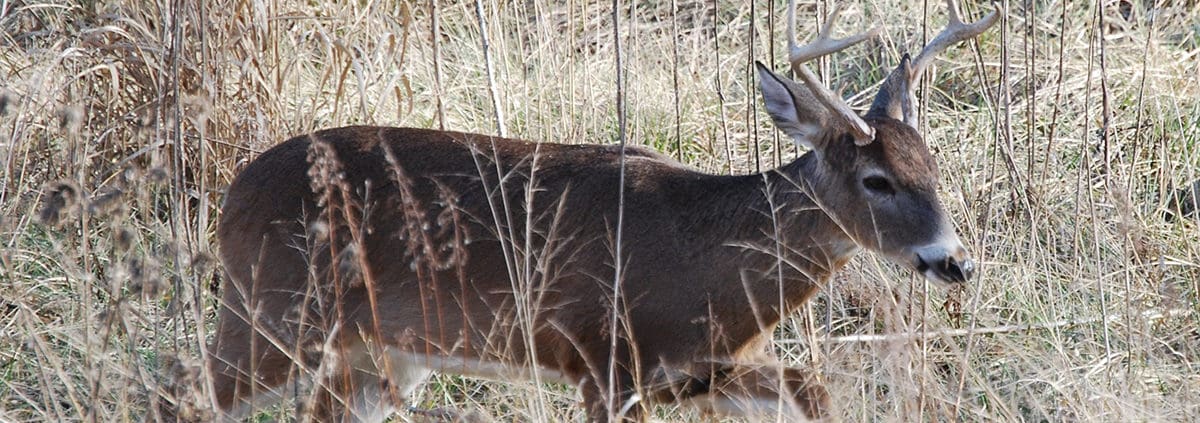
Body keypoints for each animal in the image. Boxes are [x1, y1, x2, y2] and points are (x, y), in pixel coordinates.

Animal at [204, 1, 993, 420]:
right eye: (876, 180)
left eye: (933, 166)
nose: (955, 261)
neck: (706, 263)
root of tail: (230, 199)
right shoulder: (603, 358)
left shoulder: (714, 369)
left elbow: (814, 386)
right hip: (271, 316)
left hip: (377, 357)